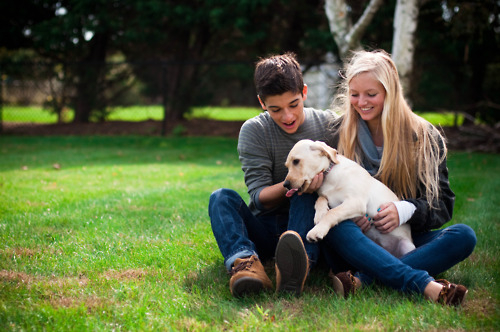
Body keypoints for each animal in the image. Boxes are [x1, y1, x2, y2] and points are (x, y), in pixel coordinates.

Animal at [284, 139, 416, 258]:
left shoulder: (356, 202)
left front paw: (317, 230)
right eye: (287, 166)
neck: (329, 174)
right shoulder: (328, 196)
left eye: (296, 161)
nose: (285, 185)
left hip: (408, 246)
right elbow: (320, 199)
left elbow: (332, 212)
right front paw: (320, 214)